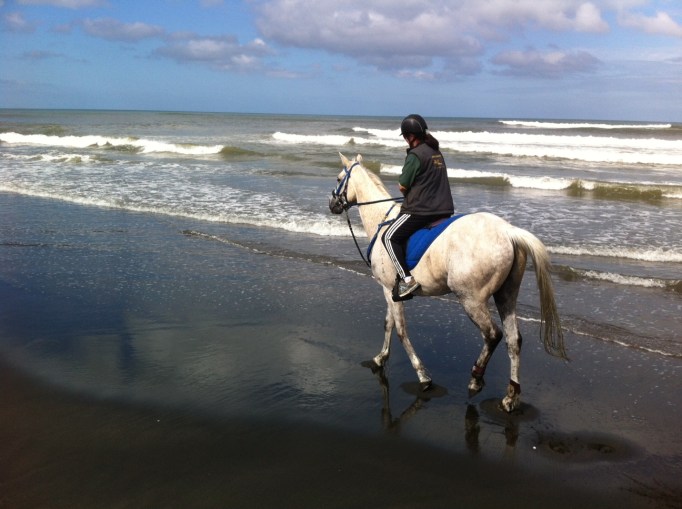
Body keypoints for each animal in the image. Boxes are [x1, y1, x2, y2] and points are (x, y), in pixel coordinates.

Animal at [329, 153, 567, 412]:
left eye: (339, 178)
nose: (332, 204)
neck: (383, 220)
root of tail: (508, 232)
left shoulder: (387, 288)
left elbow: (400, 330)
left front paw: (423, 376)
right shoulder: (391, 290)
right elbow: (388, 324)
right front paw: (380, 358)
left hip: (470, 298)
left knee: (492, 335)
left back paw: (476, 379)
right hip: (506, 295)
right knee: (513, 340)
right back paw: (510, 396)